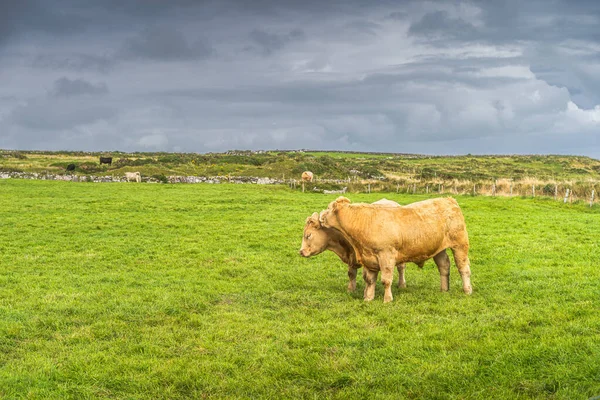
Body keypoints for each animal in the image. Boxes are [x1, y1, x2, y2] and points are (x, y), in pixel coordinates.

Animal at [322, 197, 472, 304]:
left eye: (328, 208)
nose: (321, 217)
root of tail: (449, 200)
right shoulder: (369, 258)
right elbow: (370, 280)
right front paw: (368, 298)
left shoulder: (386, 255)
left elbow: (386, 280)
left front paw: (387, 299)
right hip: (439, 249)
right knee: (444, 266)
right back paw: (444, 289)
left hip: (460, 244)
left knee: (463, 268)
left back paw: (467, 290)